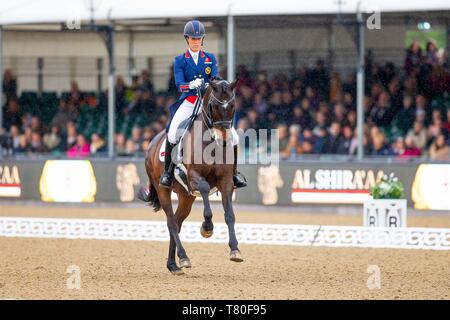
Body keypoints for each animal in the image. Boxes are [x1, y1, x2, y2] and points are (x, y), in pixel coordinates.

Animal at [138, 79, 243, 274]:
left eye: (232, 105)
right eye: (213, 106)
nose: (224, 141)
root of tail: (152, 144)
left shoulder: (225, 181)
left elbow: (230, 215)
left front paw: (235, 250)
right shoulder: (194, 177)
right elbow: (205, 193)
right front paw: (207, 228)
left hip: (186, 196)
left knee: (177, 223)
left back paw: (174, 264)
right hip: (163, 190)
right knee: (171, 223)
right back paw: (183, 257)